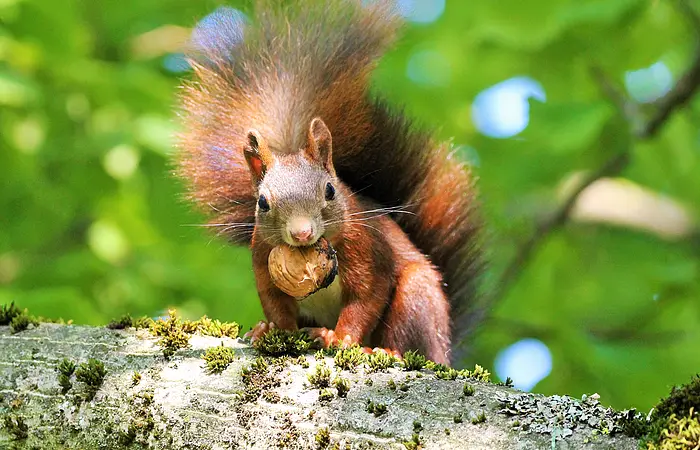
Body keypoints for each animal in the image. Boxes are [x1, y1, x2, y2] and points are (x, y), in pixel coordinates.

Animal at [174, 0, 482, 366]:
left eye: (330, 190)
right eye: (262, 202)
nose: (301, 232)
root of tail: (444, 348)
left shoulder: (367, 249)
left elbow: (365, 298)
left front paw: (341, 338)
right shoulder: (261, 254)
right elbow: (273, 300)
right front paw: (271, 330)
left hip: (418, 298)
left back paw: (387, 351)